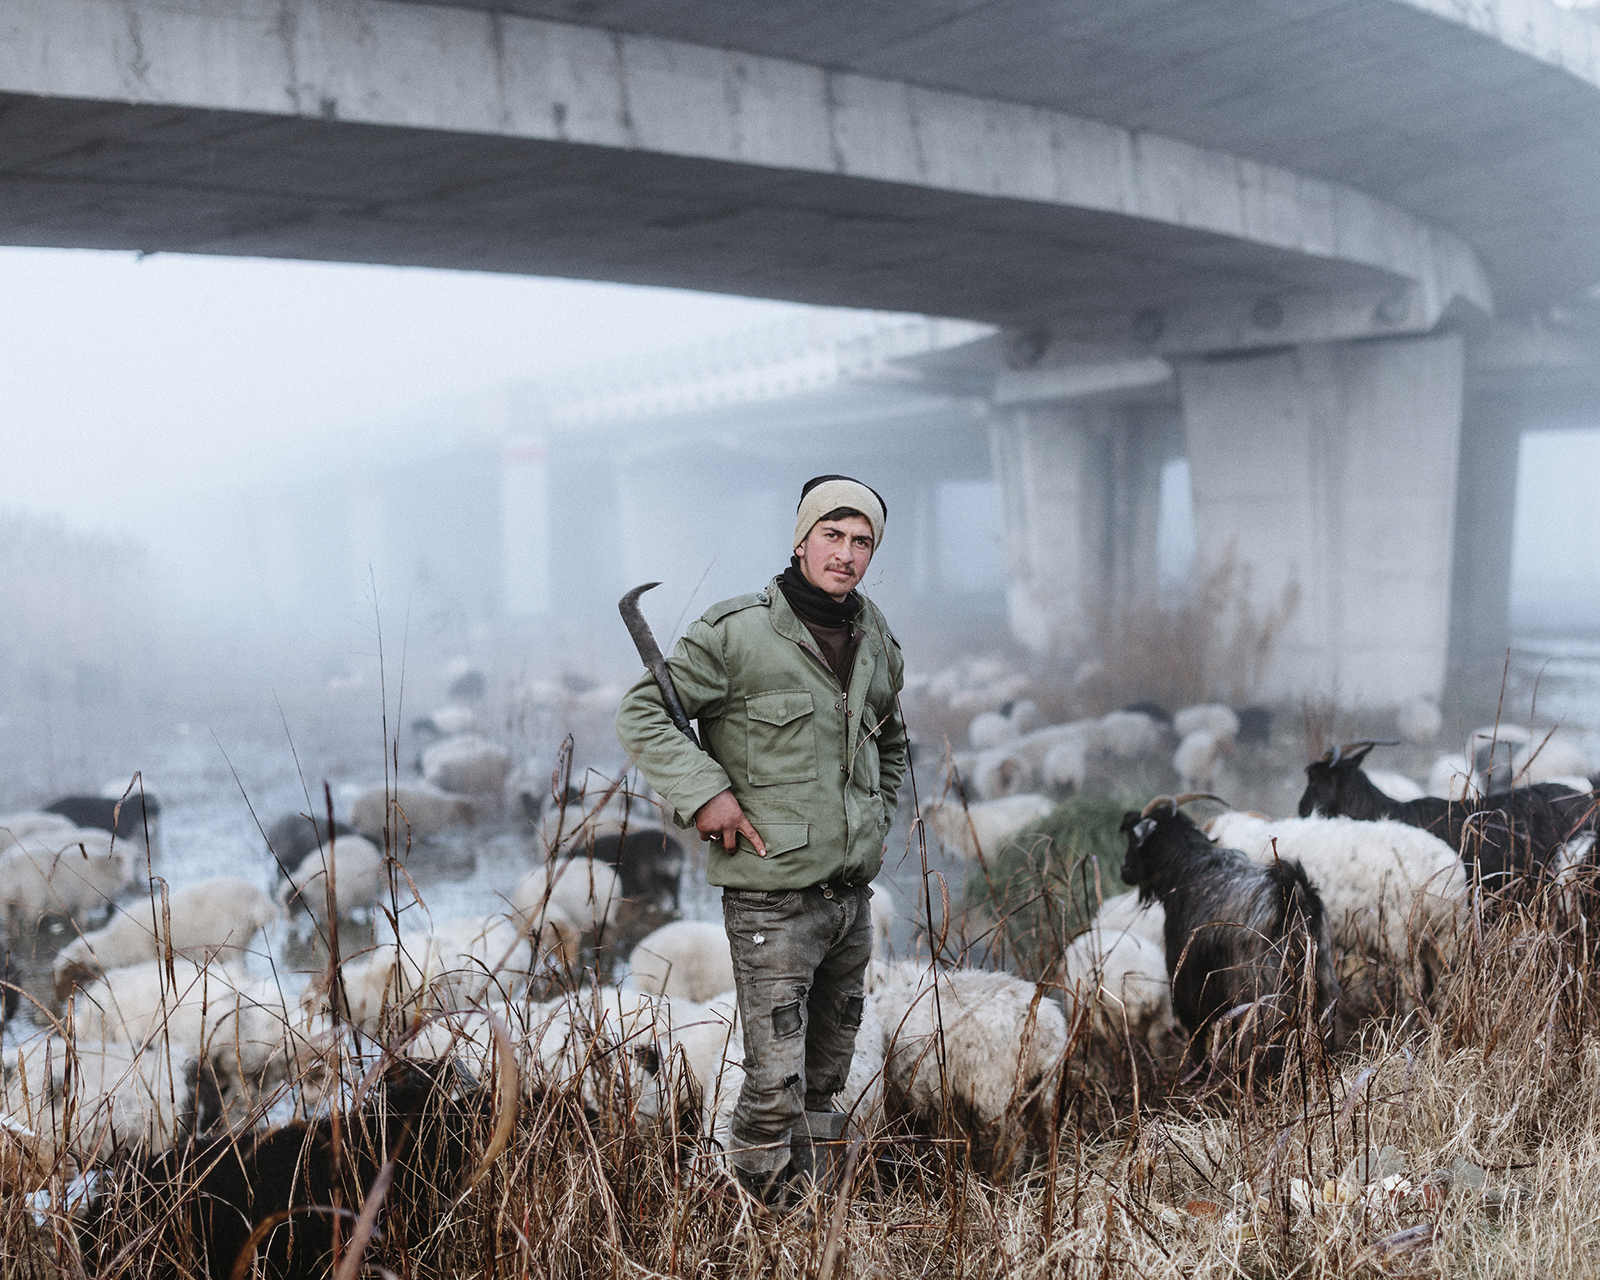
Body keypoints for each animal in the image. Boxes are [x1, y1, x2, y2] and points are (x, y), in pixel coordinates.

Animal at [1120, 790, 1344, 1068]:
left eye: (1133, 838)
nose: (1124, 871)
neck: (1188, 868)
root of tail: (1293, 899)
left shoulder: (1188, 983)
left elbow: (1196, 1035)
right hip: (1322, 984)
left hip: (1261, 993)